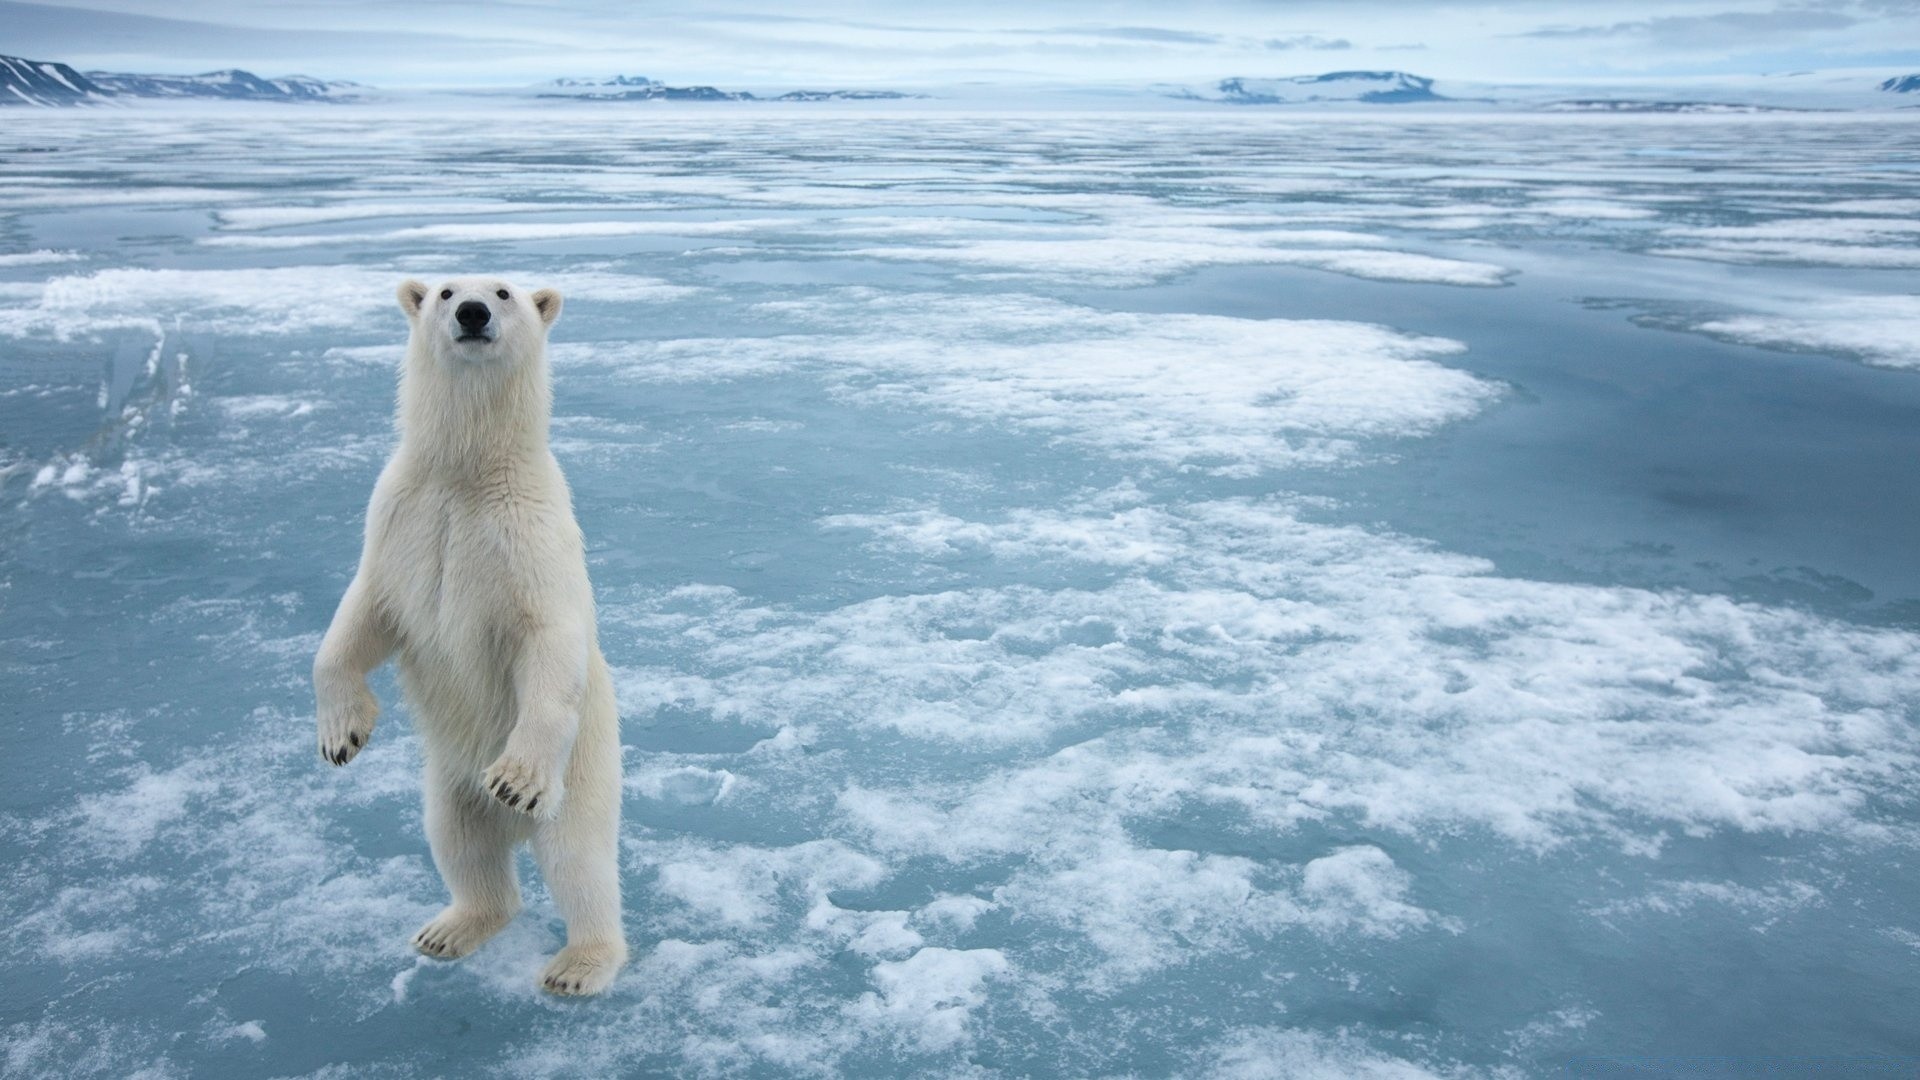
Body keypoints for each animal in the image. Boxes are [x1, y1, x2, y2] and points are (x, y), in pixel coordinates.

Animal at [307, 274, 622, 991]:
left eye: (504, 292)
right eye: (446, 290)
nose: (473, 313)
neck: (466, 473)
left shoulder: (529, 535)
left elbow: (548, 637)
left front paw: (515, 779)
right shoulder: (400, 518)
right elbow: (362, 616)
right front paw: (342, 735)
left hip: (584, 771)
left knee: (578, 860)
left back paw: (580, 964)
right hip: (448, 781)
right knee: (460, 844)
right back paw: (449, 928)